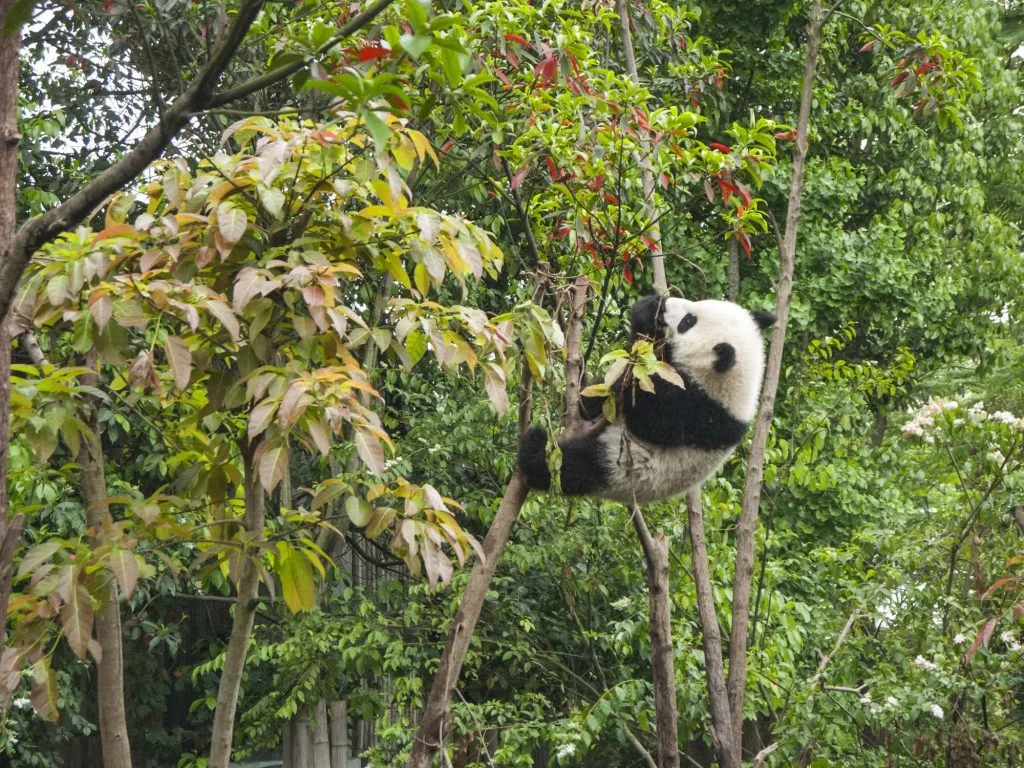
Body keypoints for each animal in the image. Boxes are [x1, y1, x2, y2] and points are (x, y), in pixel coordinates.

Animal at [517, 295, 775, 505]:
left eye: (688, 321)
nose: (667, 303)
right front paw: (648, 309)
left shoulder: (698, 412)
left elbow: (646, 416)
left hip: (618, 468)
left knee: (571, 467)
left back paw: (534, 448)